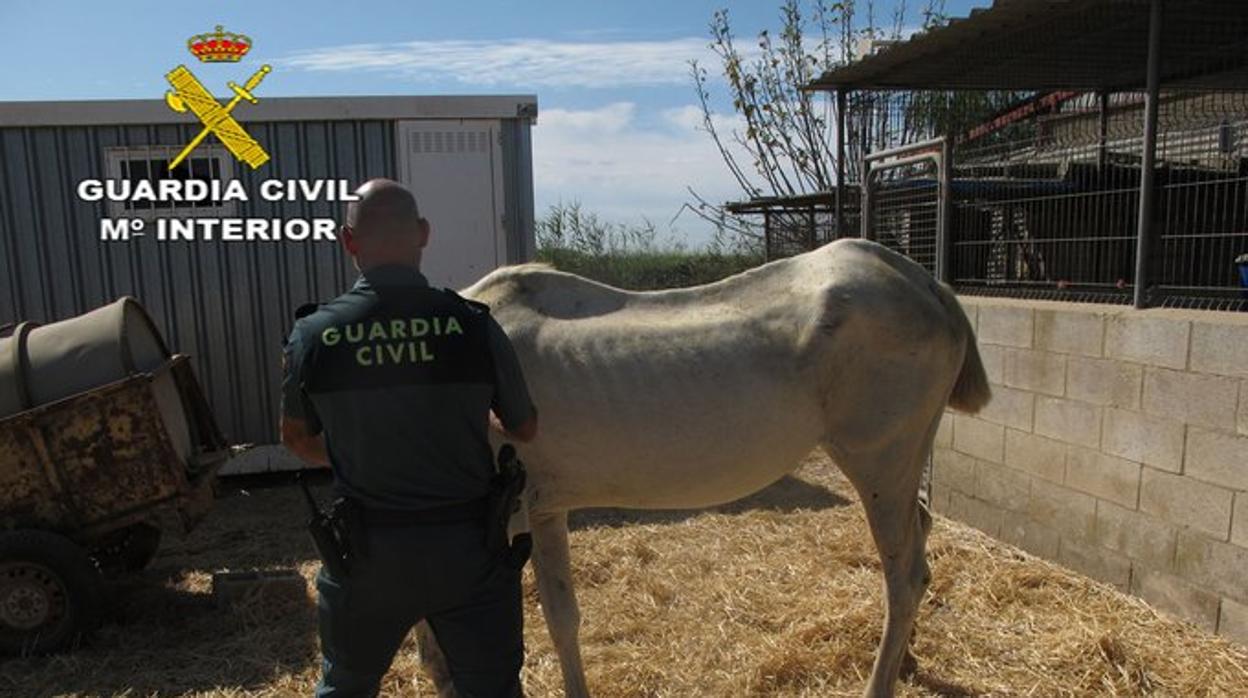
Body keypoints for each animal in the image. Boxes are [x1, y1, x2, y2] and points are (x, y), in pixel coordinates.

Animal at [424, 238, 988, 698]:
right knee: (919, 542)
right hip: (900, 466)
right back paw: (906, 660)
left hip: (880, 465)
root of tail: (925, 283)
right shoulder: (541, 512)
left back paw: (880, 682)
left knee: (904, 576)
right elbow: (556, 618)